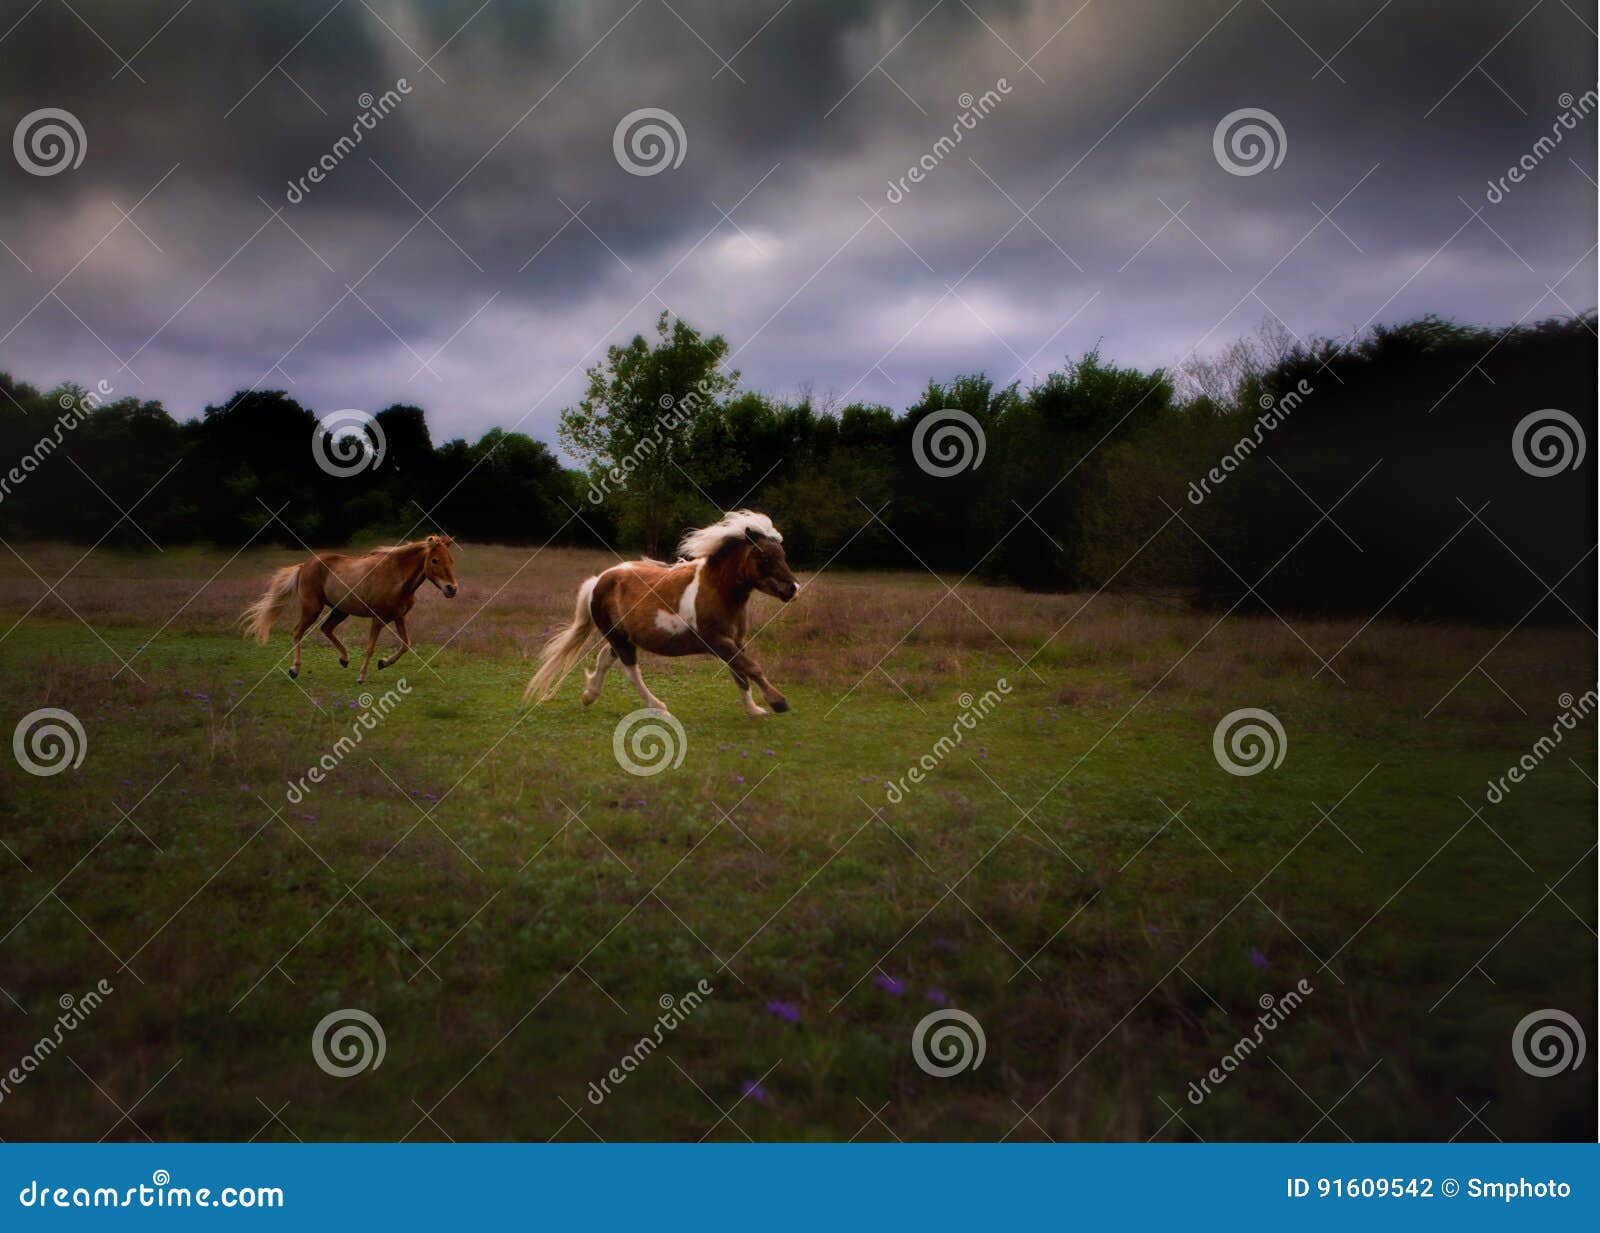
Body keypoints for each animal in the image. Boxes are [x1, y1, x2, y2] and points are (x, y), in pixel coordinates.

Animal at [240, 535, 459, 683]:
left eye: (451, 560)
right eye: (435, 560)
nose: (452, 589)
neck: (396, 578)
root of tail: (304, 565)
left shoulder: (399, 617)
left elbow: (406, 644)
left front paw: (382, 663)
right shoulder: (378, 618)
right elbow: (370, 648)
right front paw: (362, 676)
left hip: (340, 611)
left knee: (326, 629)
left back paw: (344, 659)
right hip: (312, 608)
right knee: (298, 632)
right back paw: (295, 669)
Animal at [525, 510, 800, 718]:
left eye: (783, 555)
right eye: (764, 556)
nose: (793, 588)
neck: (717, 589)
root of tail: (598, 580)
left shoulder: (735, 642)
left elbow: (740, 674)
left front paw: (755, 710)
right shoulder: (718, 641)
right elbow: (751, 668)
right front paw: (778, 702)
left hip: (622, 636)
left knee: (605, 658)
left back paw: (589, 695)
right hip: (620, 639)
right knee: (630, 671)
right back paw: (658, 707)